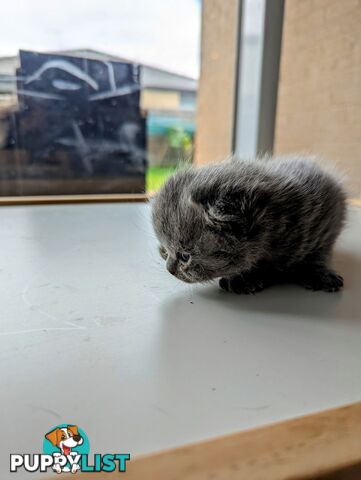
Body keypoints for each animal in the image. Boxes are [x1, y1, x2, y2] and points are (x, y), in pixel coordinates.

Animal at [150, 156, 346, 294]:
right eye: (168, 250)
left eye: (185, 256)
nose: (169, 269)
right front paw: (245, 279)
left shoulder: (327, 221)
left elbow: (318, 254)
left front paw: (318, 274)